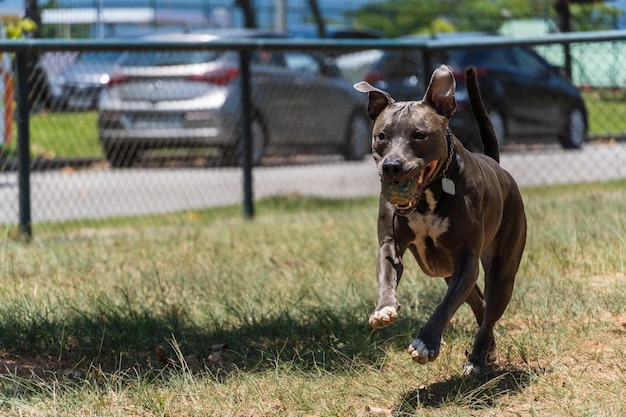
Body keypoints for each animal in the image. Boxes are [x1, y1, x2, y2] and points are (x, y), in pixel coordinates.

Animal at [354, 66, 524, 374]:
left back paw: (476, 359)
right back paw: (487, 352)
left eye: (419, 135)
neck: (427, 196)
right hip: (451, 272)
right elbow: (386, 275)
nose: (392, 166)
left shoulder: (467, 259)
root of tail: (497, 167)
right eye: (381, 136)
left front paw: (426, 343)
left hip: (502, 269)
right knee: (480, 306)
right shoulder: (390, 245)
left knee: (490, 309)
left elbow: (445, 306)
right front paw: (383, 309)